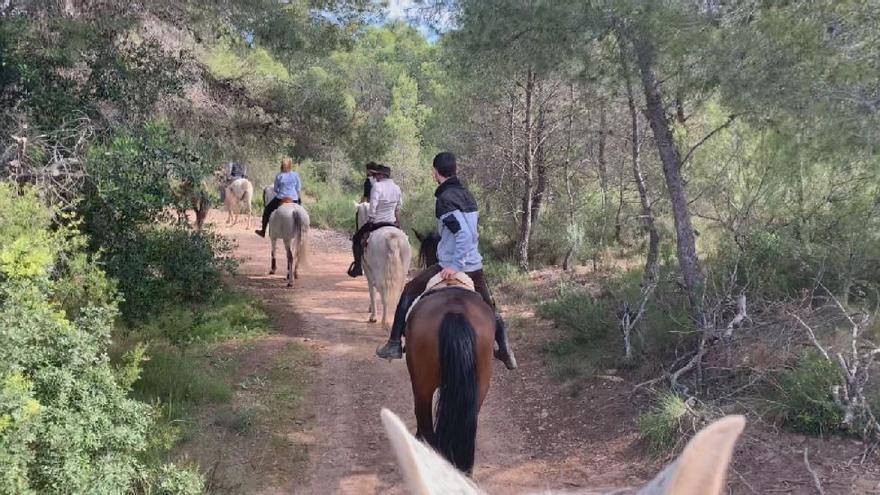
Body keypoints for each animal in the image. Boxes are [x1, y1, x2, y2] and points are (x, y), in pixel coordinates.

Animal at [356, 203, 410, 332]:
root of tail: (392, 238)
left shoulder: (368, 271)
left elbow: (372, 291)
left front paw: (372, 314)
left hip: (379, 274)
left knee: (383, 292)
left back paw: (384, 321)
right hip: (402, 272)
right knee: (398, 292)